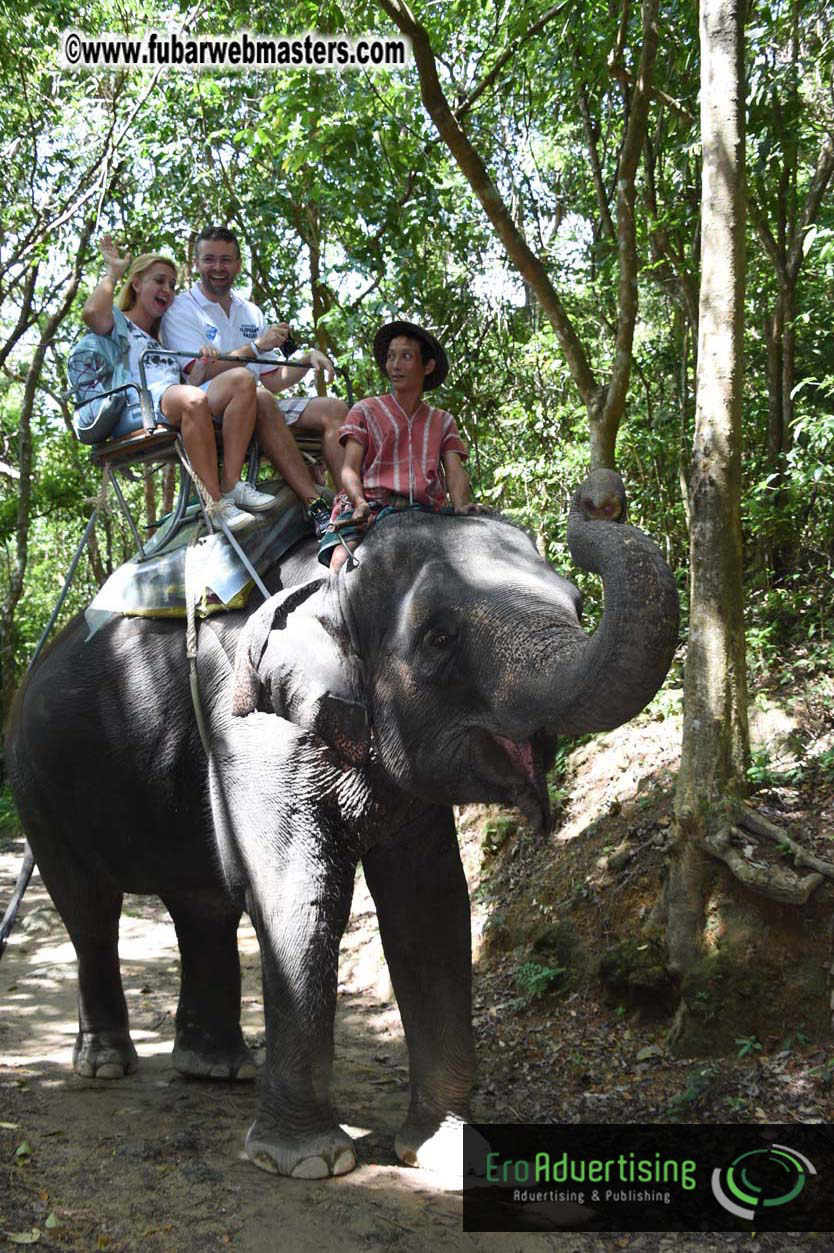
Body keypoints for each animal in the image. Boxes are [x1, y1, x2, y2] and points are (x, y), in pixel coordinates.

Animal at [5, 469, 678, 1180]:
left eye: (577, 604)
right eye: (439, 639)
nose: (600, 495)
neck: (332, 577)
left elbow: (431, 906)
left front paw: (446, 1155)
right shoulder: (252, 721)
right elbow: (298, 897)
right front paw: (310, 1162)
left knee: (202, 906)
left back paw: (217, 1069)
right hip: (36, 784)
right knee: (89, 908)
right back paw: (106, 1064)